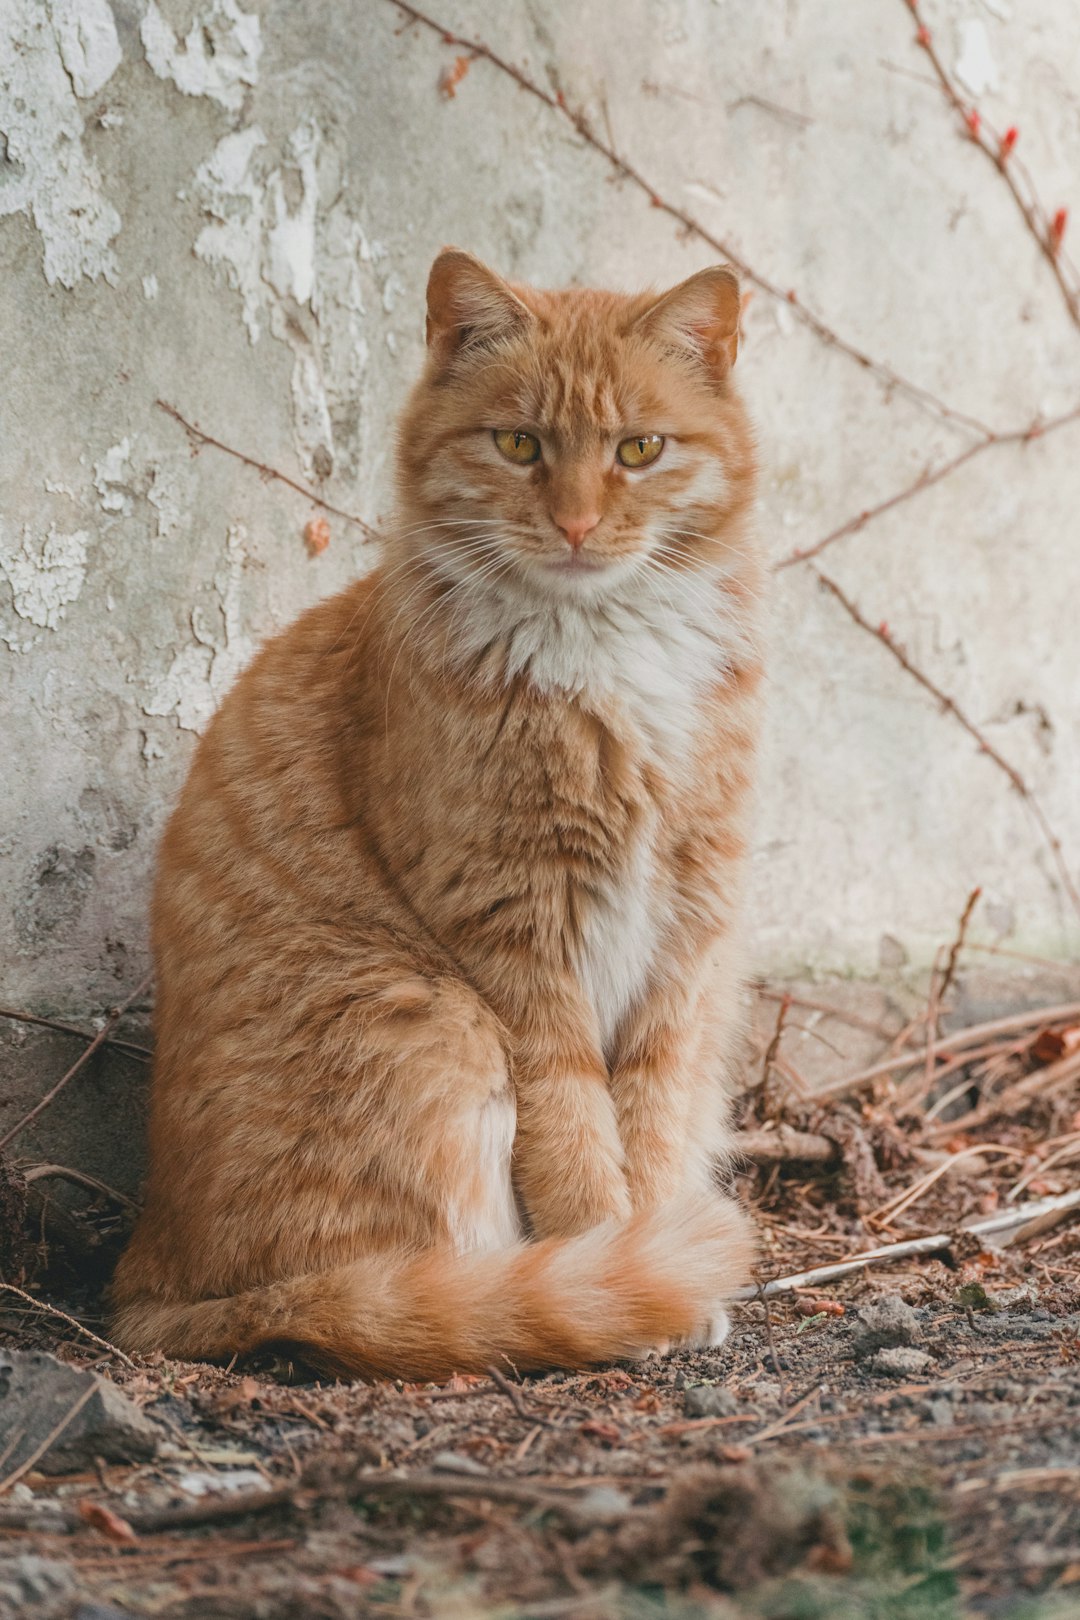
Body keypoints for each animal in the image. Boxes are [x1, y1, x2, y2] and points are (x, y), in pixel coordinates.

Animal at [111, 246, 761, 1373]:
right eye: (519, 444)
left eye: (639, 449)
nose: (576, 524)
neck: (608, 645)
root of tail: (146, 1282)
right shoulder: (514, 930)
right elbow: (577, 1135)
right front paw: (627, 1264)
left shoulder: (688, 939)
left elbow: (656, 1115)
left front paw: (662, 1248)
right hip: (434, 1025)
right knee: (405, 1293)